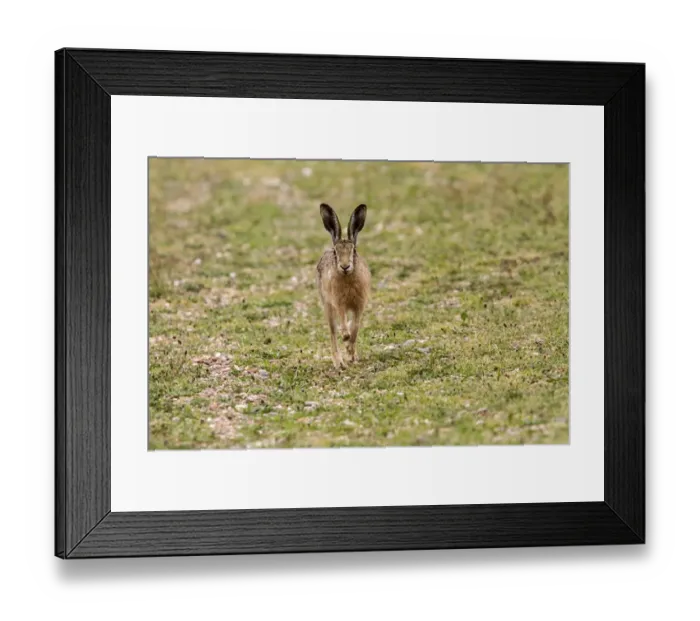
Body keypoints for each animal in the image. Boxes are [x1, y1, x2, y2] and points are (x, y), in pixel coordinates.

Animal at [316, 203, 371, 369]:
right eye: (336, 252)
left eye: (354, 250)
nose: (345, 266)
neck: (348, 278)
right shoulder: (339, 302)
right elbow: (344, 327)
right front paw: (346, 341)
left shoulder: (359, 305)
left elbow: (356, 328)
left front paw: (351, 351)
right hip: (327, 305)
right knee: (333, 332)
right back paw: (338, 362)